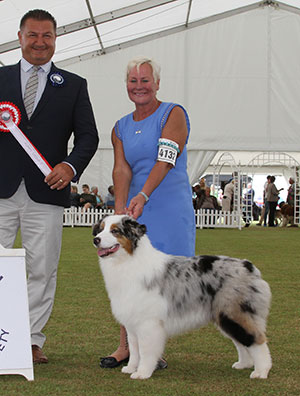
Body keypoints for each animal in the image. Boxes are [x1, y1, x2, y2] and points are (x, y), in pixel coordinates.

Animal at [93, 217, 272, 380]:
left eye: (115, 231)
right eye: (100, 229)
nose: (96, 239)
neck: (128, 261)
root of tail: (248, 266)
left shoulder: (148, 323)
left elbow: (145, 351)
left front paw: (142, 373)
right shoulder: (132, 323)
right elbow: (134, 349)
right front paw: (131, 368)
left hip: (235, 313)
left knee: (256, 340)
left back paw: (261, 371)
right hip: (225, 316)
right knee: (242, 342)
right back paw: (244, 364)